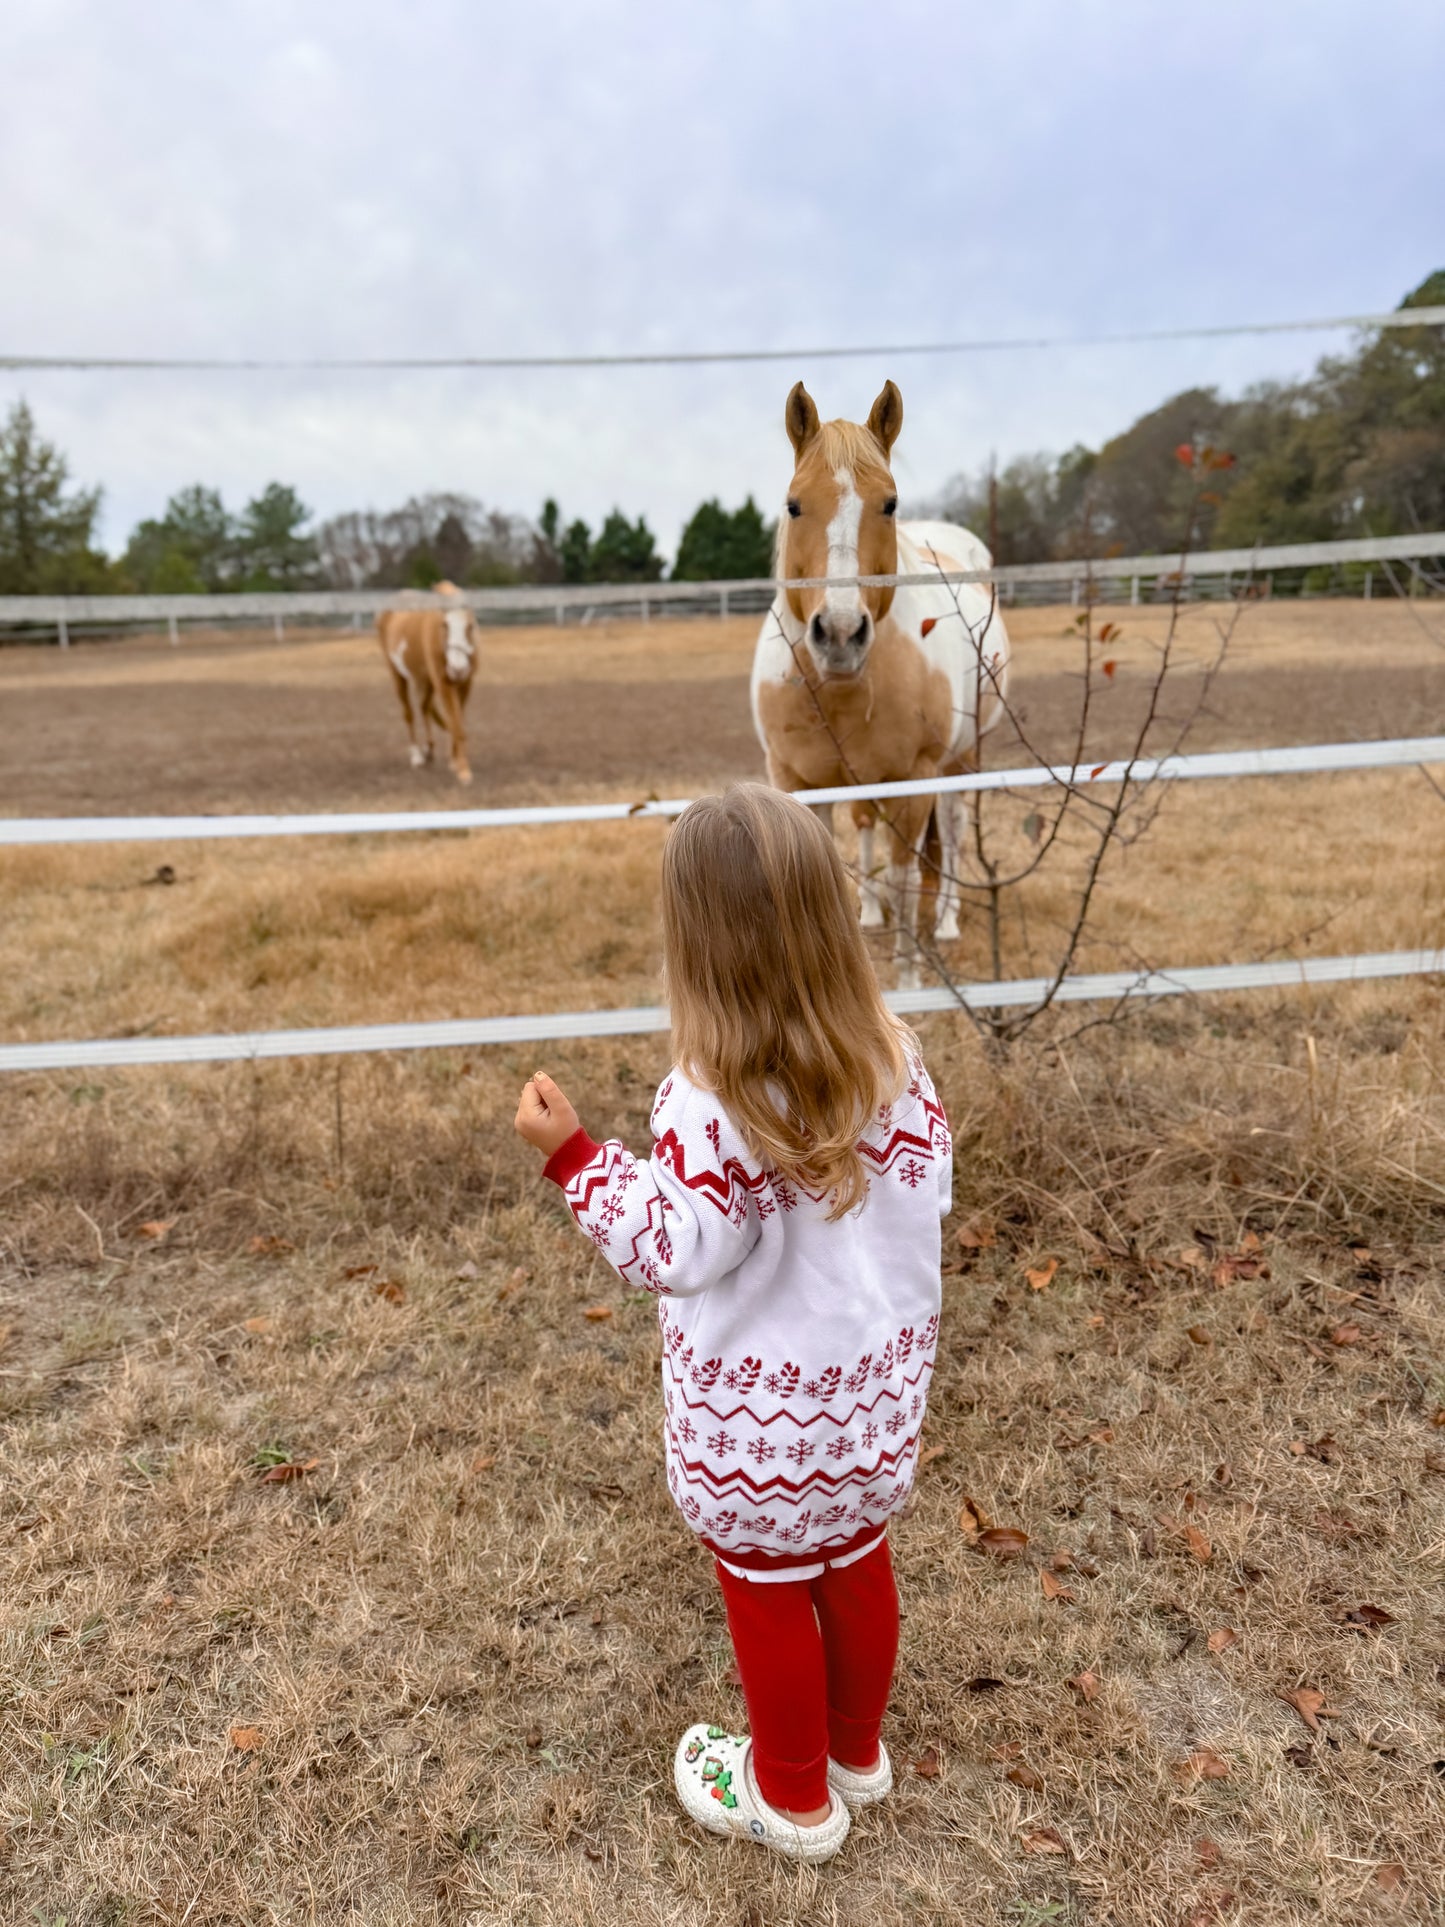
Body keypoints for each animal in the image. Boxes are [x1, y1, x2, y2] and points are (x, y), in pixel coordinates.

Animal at [379, 589, 481, 793]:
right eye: (445, 625)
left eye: (470, 626)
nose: (457, 669)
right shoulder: (444, 684)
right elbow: (457, 725)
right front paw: (464, 772)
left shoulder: (465, 684)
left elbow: (457, 721)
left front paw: (454, 761)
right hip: (397, 675)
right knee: (409, 713)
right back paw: (417, 755)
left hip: (425, 681)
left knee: (424, 708)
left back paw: (429, 750)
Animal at [751, 381, 1009, 971]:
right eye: (794, 505)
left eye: (889, 505)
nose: (841, 633)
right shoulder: (797, 783)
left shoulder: (914, 784)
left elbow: (905, 883)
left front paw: (910, 972)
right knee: (869, 828)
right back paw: (870, 915)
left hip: (961, 760)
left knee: (952, 836)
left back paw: (946, 923)